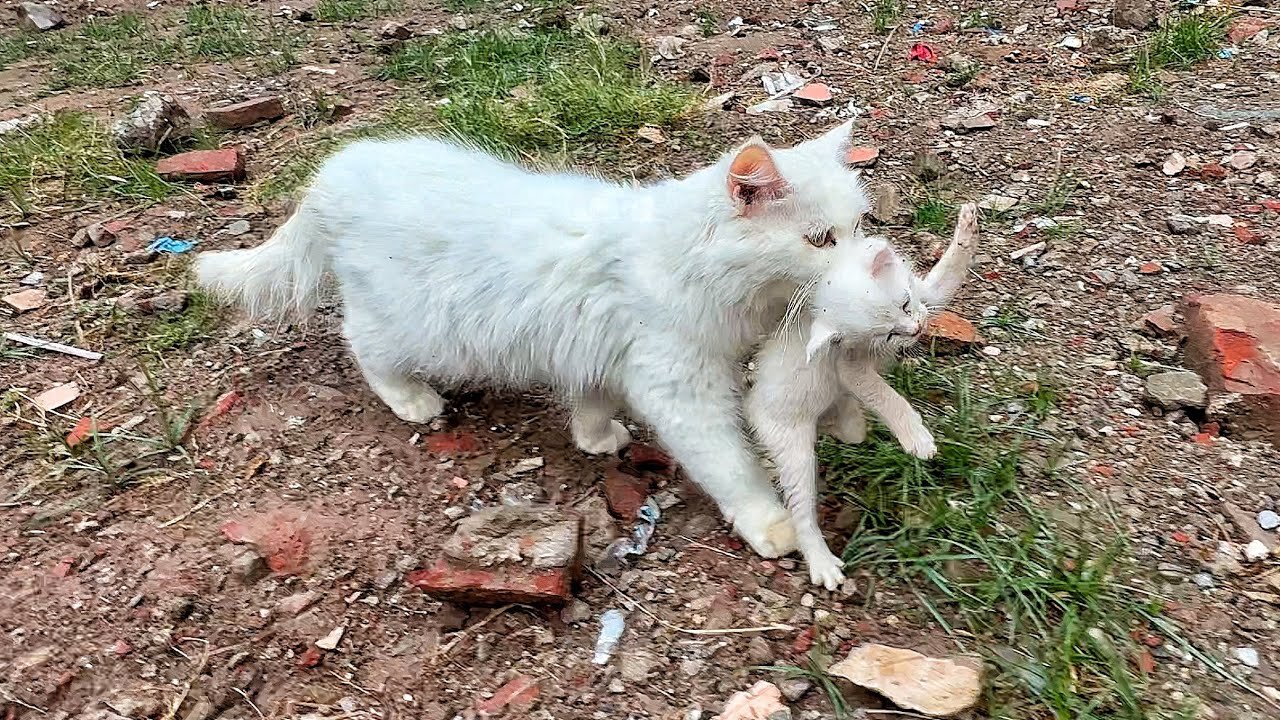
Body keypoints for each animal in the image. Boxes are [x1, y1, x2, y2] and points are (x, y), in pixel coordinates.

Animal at [747, 203, 977, 589]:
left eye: (905, 305)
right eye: (887, 335)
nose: (917, 331)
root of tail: (750, 408)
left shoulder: (926, 295)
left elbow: (950, 273)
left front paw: (967, 227)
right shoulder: (850, 368)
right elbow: (889, 399)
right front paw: (918, 440)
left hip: (840, 422)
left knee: (849, 429)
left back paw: (839, 417)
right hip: (793, 448)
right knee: (801, 511)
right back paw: (821, 563)